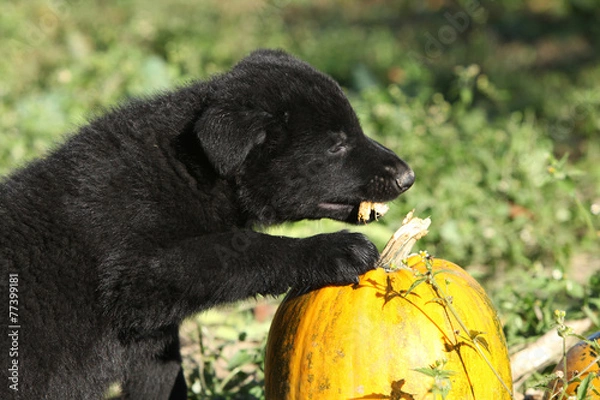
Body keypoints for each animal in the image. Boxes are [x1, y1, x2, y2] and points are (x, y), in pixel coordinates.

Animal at [0, 48, 412, 398]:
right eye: (335, 145)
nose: (408, 177)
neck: (186, 169)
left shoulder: (151, 332)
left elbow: (160, 376)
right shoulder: (138, 274)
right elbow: (243, 249)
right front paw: (335, 249)